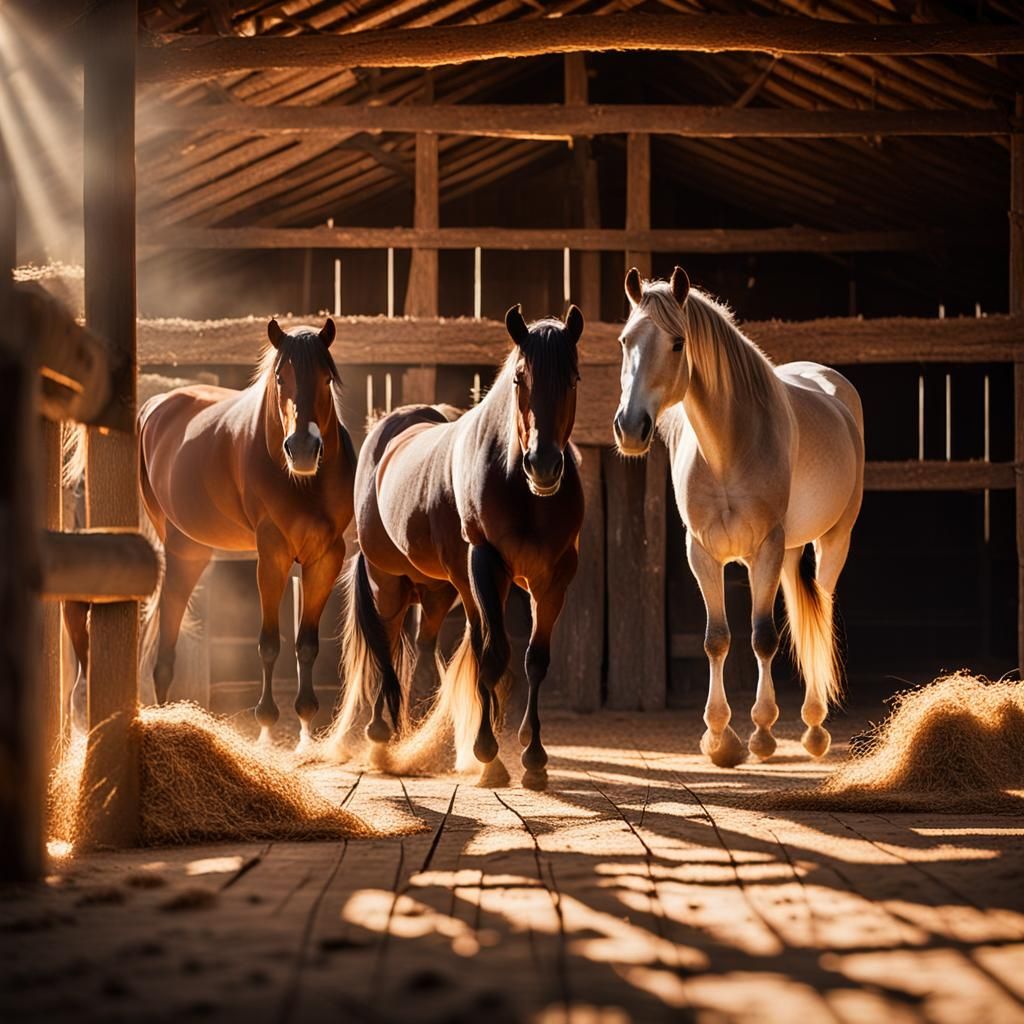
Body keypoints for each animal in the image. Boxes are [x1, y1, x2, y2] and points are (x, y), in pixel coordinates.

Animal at [134, 317, 356, 751]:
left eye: (326, 378)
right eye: (281, 377)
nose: (303, 448)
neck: (305, 484)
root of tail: (158, 405)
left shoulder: (325, 557)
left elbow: (306, 643)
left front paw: (306, 724)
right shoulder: (272, 555)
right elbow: (269, 643)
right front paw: (267, 725)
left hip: (195, 550)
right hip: (179, 553)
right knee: (166, 638)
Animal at [324, 304, 585, 790]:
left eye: (573, 378)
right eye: (519, 378)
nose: (542, 465)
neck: (524, 493)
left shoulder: (554, 578)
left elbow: (534, 660)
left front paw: (534, 757)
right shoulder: (486, 566)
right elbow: (493, 653)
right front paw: (487, 753)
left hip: (439, 590)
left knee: (427, 651)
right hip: (389, 580)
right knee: (387, 642)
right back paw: (382, 733)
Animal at [613, 267, 864, 767]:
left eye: (677, 343)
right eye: (625, 340)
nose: (630, 427)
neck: (728, 450)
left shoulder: (763, 549)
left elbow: (762, 637)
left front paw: (762, 734)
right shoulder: (703, 553)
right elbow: (718, 638)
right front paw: (719, 737)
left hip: (832, 541)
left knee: (820, 614)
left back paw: (814, 727)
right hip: (790, 551)